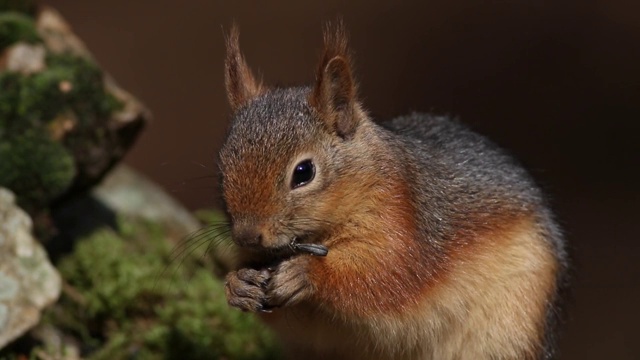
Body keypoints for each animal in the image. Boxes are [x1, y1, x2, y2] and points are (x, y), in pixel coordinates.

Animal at [219, 22, 564, 360]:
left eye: (304, 172)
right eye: (222, 164)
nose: (247, 237)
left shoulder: (403, 221)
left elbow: (388, 275)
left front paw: (308, 271)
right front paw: (238, 284)